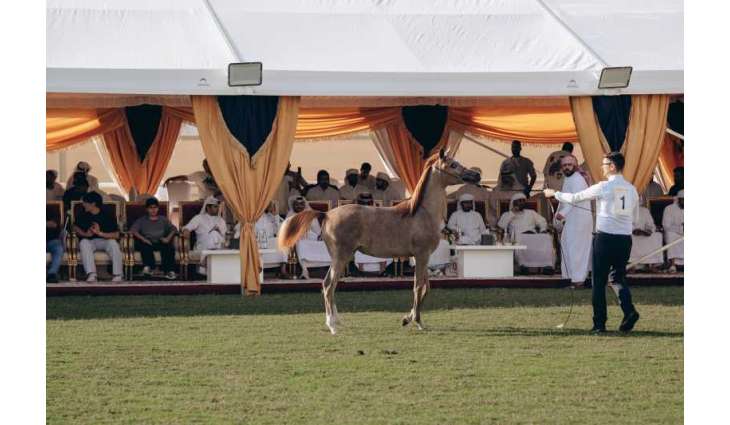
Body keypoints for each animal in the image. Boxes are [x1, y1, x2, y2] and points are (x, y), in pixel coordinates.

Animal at [278, 150, 480, 334]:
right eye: (453, 164)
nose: (476, 175)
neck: (421, 213)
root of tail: (326, 214)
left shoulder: (425, 258)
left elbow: (426, 288)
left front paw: (407, 319)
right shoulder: (421, 256)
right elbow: (418, 287)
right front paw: (417, 321)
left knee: (331, 286)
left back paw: (337, 321)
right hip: (340, 257)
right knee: (328, 285)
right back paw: (332, 326)